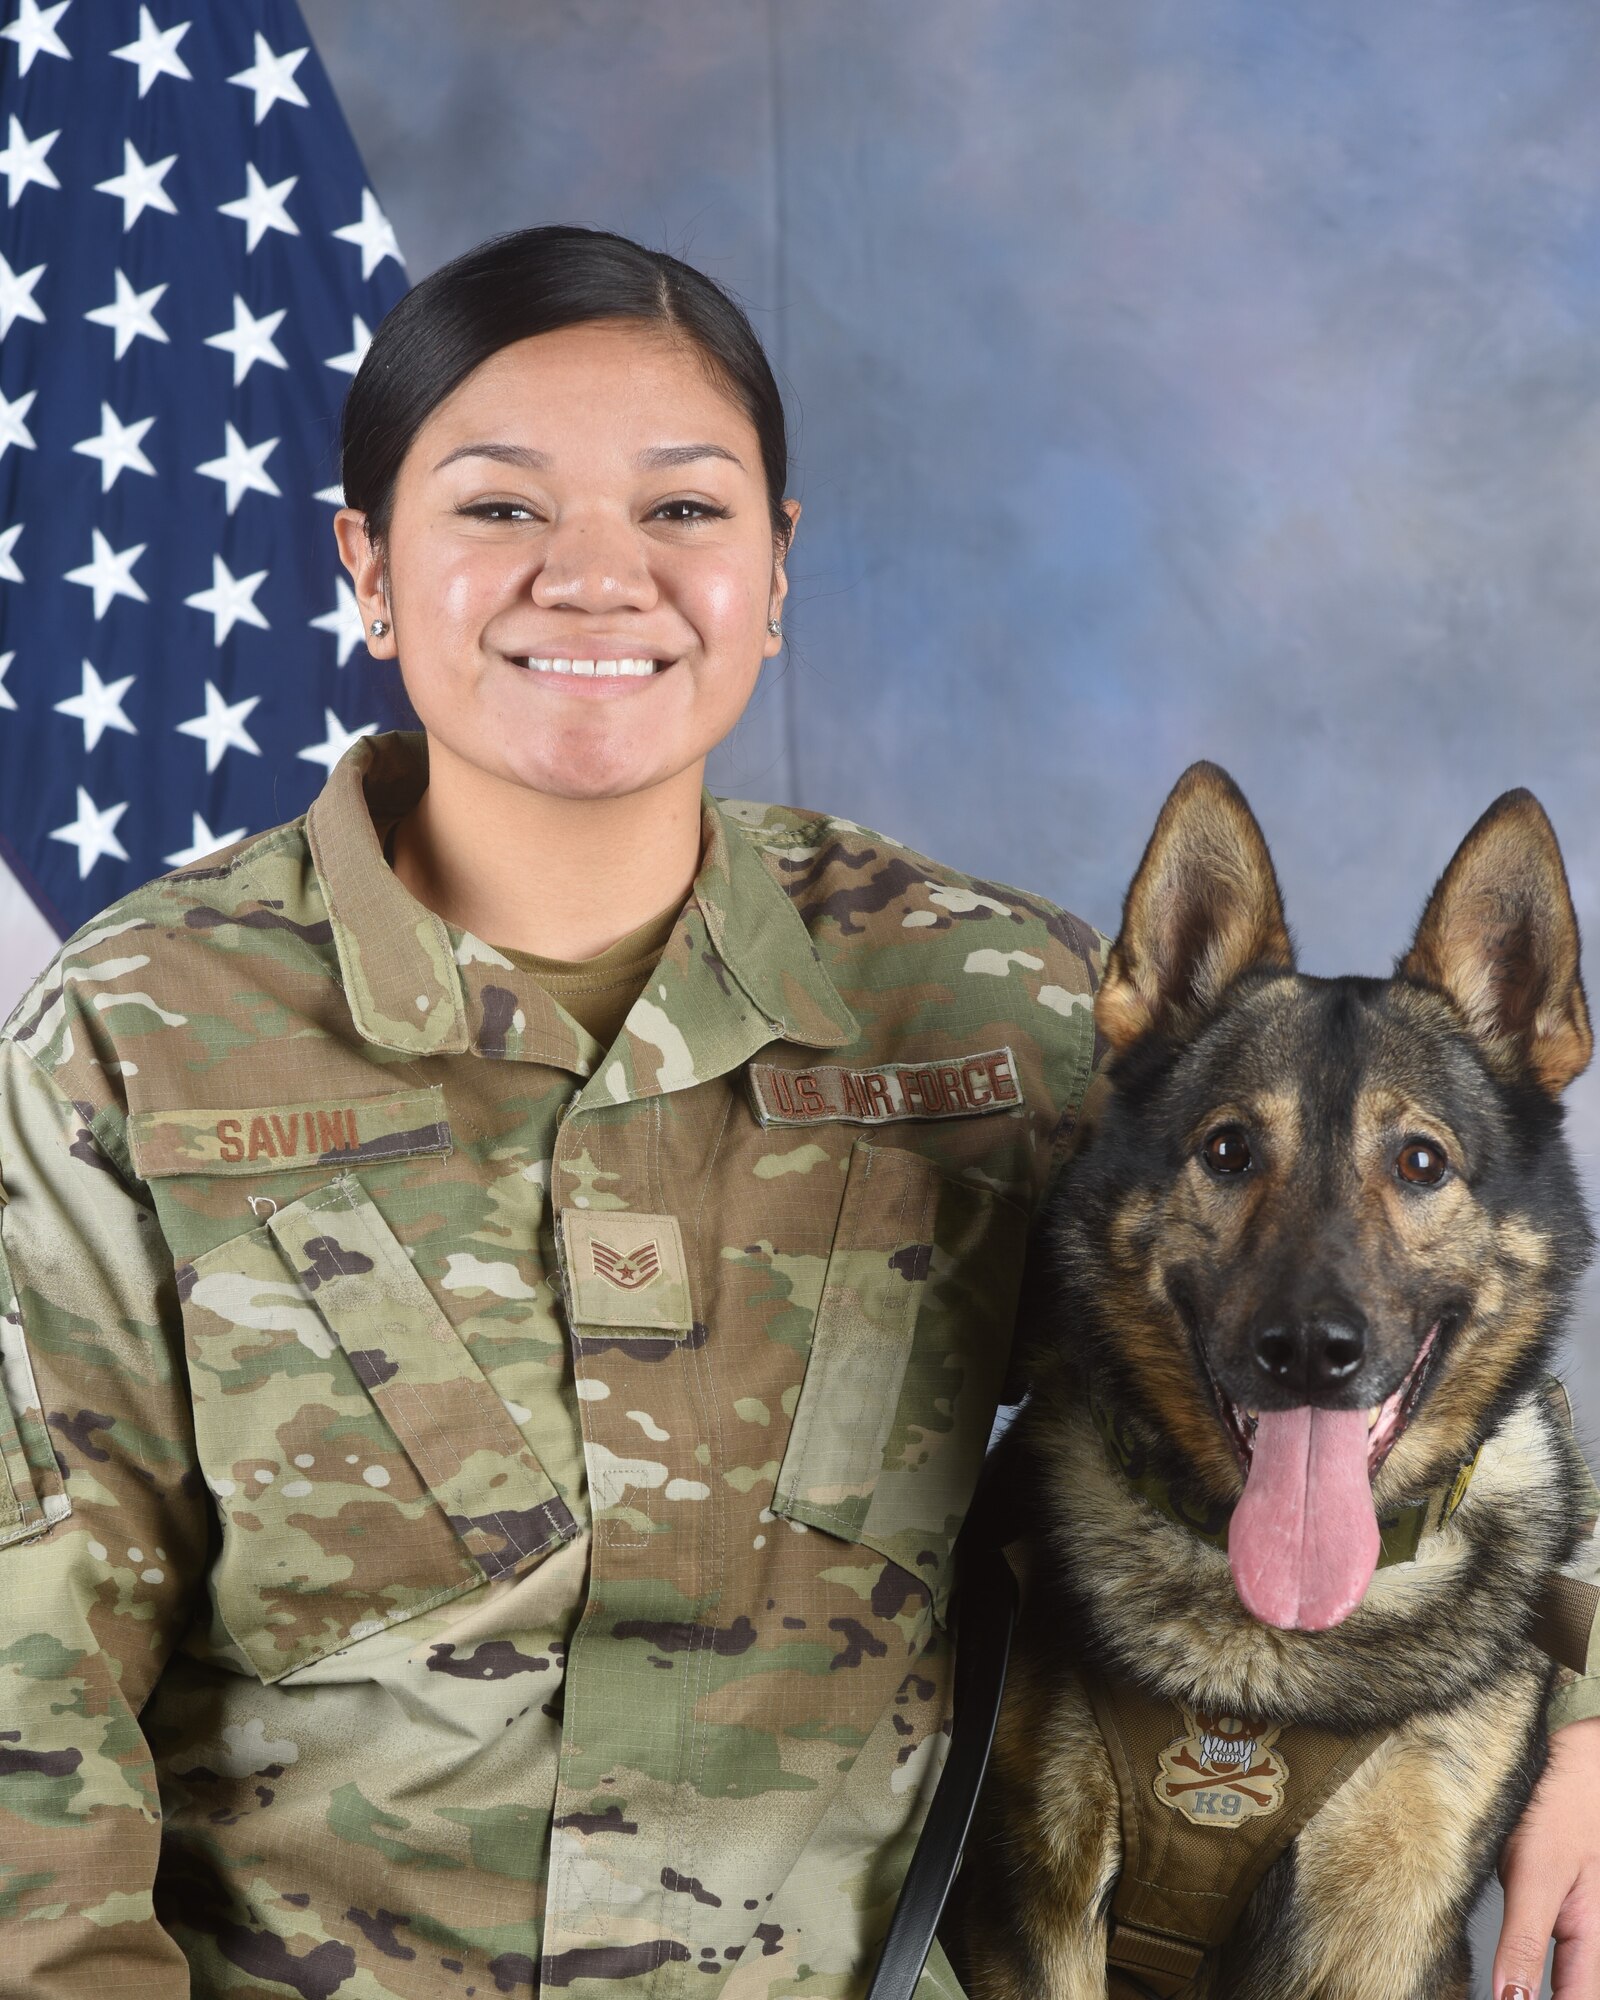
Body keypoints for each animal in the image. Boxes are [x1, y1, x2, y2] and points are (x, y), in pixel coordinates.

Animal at [956, 764, 1592, 2000]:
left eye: (1421, 1161)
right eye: (1228, 1150)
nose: (1307, 1350)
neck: (1269, 1657)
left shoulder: (1377, 1942)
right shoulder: (1034, 1920)